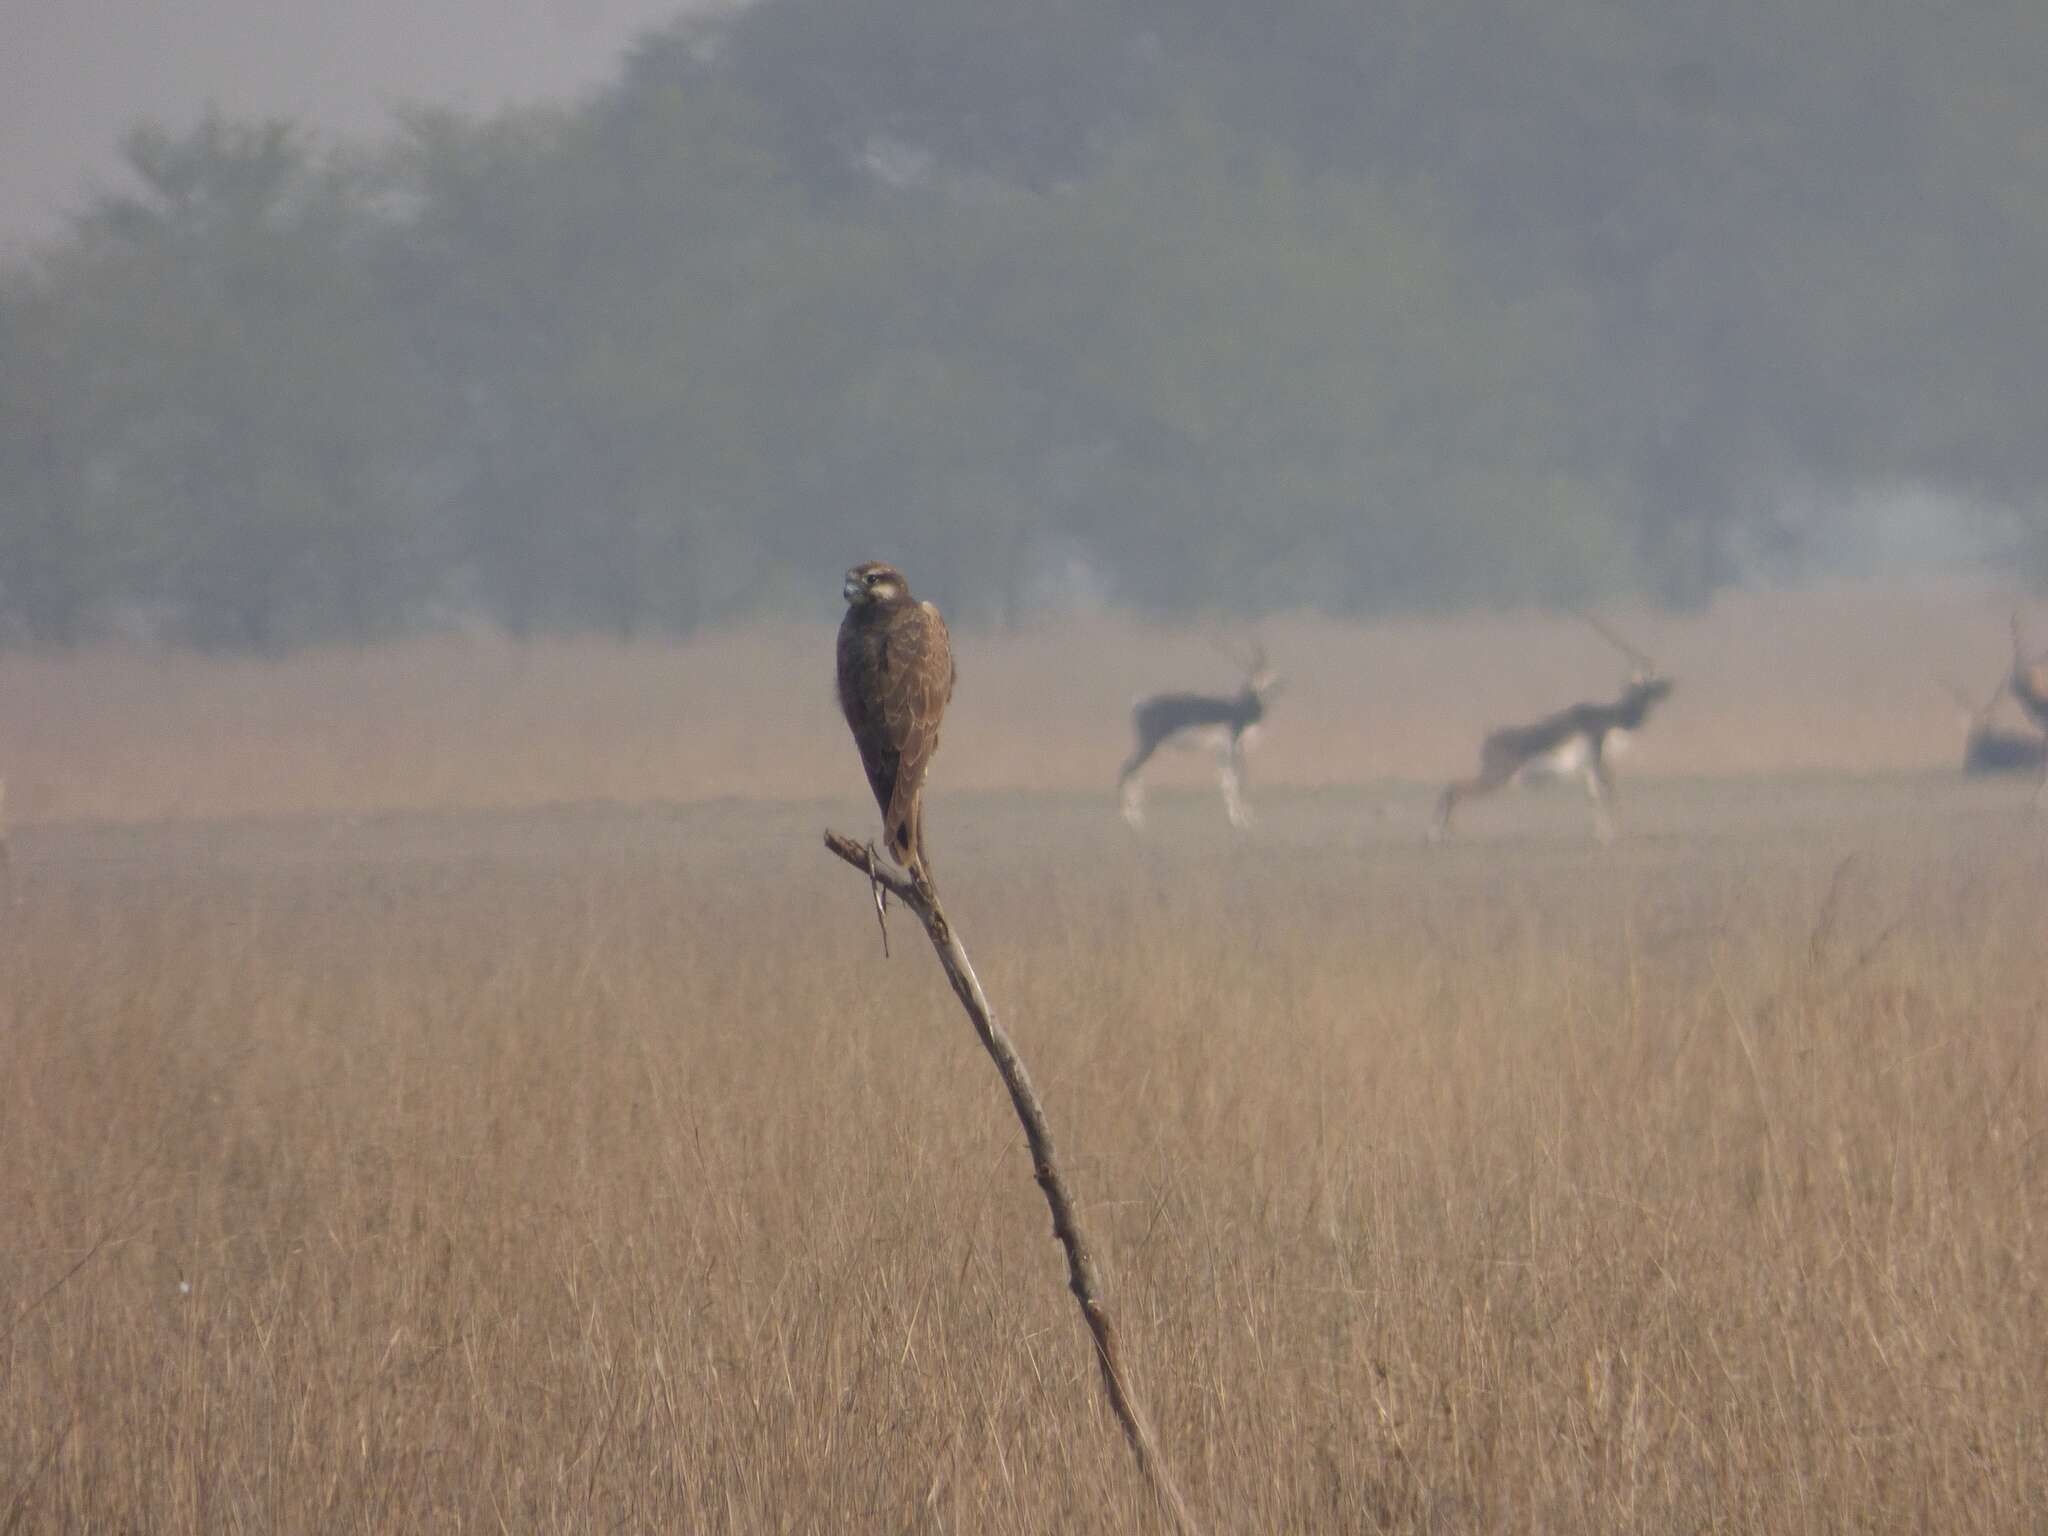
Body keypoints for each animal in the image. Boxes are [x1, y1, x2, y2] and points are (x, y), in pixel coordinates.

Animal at [1122, 638, 1277, 831]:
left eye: (1271, 674)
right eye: (1258, 676)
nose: (1275, 688)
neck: (1239, 709)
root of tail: (1139, 703)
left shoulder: (1225, 752)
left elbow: (1235, 781)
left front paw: (1246, 817)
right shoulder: (1229, 748)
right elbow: (1232, 782)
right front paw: (1239, 821)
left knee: (1134, 772)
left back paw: (1134, 818)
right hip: (1148, 744)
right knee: (1128, 769)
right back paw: (1134, 820)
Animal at [1433, 614, 1671, 847]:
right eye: (1649, 683)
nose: (1669, 688)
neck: (1609, 716)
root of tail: (1489, 738)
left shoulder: (1586, 768)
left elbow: (1593, 798)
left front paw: (1601, 835)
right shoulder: (1597, 762)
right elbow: (1606, 794)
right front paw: (1610, 836)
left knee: (1451, 788)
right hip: (1496, 778)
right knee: (1453, 789)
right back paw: (1438, 835)